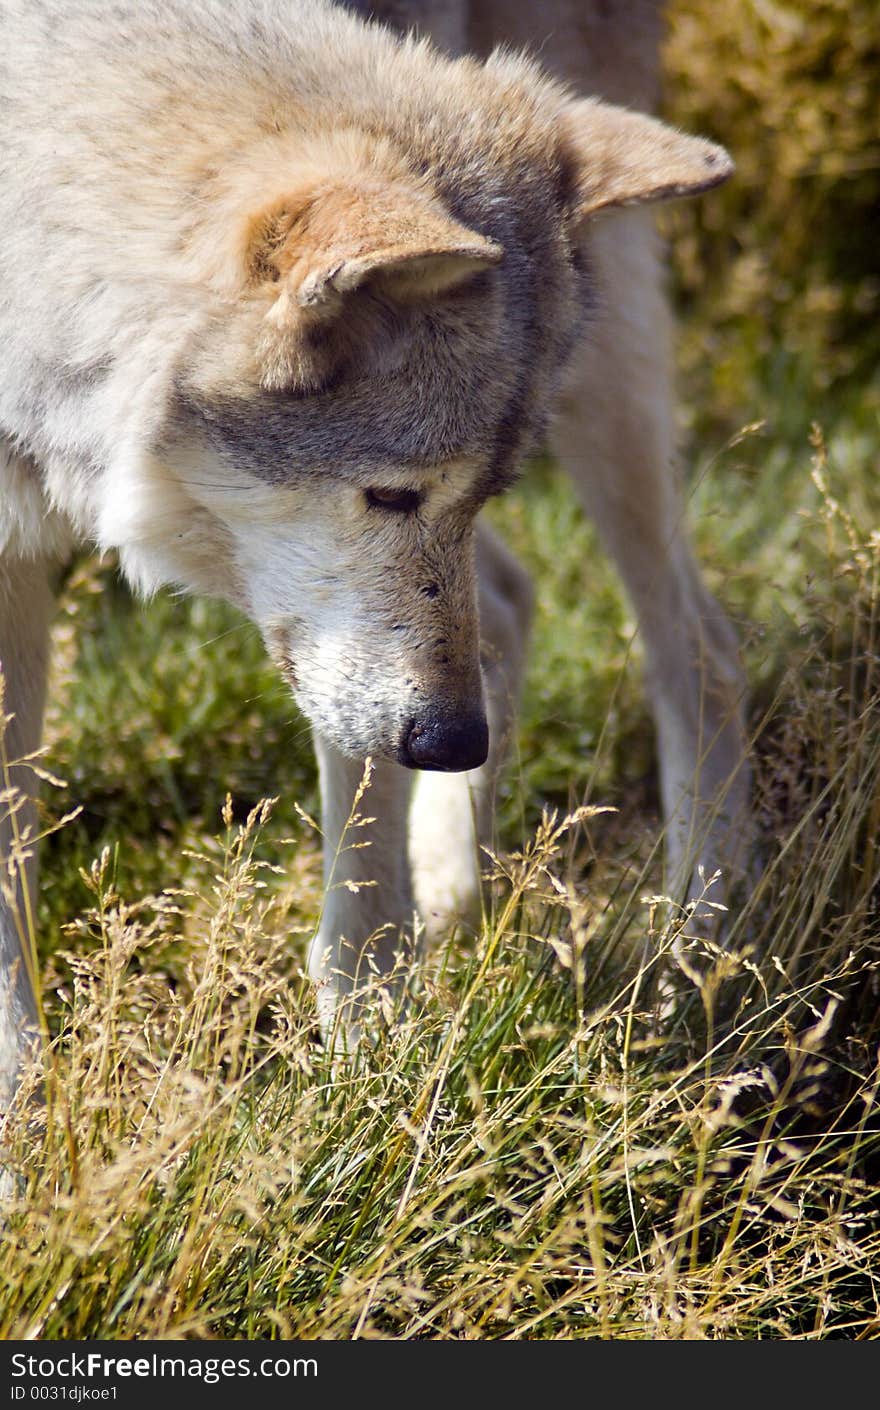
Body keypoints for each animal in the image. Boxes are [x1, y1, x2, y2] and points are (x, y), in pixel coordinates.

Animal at [0, 0, 750, 1094]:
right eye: (393, 495)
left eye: (474, 489)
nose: (453, 740)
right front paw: (19, 1089)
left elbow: (359, 847)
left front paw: (373, 1057)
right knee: (514, 602)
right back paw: (456, 890)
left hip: (611, 374)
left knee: (697, 641)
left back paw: (707, 944)